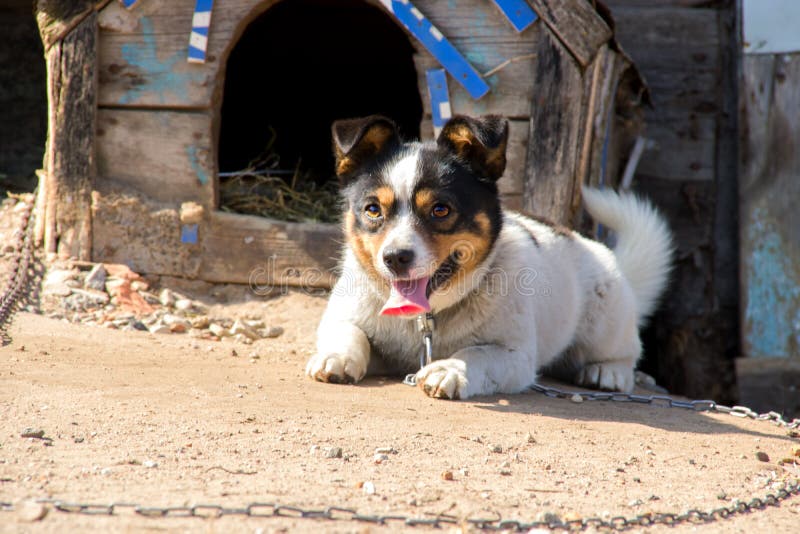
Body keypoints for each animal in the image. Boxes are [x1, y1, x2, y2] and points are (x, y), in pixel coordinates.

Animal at [304, 115, 672, 400]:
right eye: (372, 210)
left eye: (440, 209)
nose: (395, 258)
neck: (425, 320)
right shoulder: (345, 318)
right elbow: (349, 332)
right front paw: (336, 356)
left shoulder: (515, 355)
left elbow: (477, 353)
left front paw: (452, 369)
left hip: (605, 324)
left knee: (626, 353)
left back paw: (608, 373)